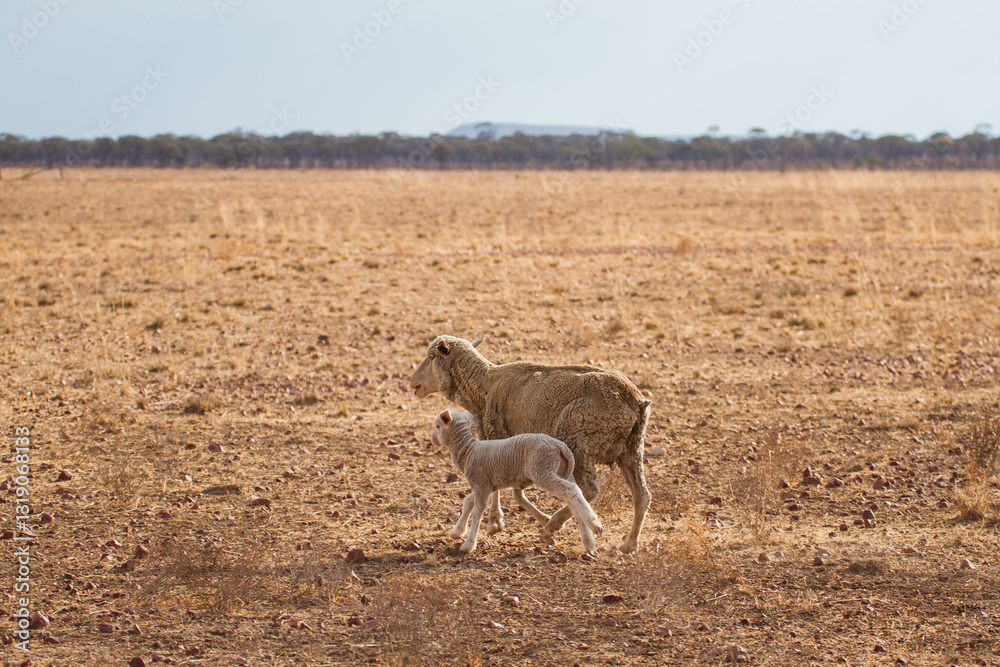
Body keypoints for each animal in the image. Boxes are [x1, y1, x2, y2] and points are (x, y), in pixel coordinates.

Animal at [432, 409, 602, 554]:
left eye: (437, 426)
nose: (433, 440)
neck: (468, 451)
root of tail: (559, 445)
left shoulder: (481, 483)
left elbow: (477, 511)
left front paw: (468, 544)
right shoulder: (487, 486)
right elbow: (467, 501)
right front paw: (457, 531)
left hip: (542, 470)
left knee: (570, 490)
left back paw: (594, 525)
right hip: (562, 471)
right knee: (575, 494)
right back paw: (588, 540)